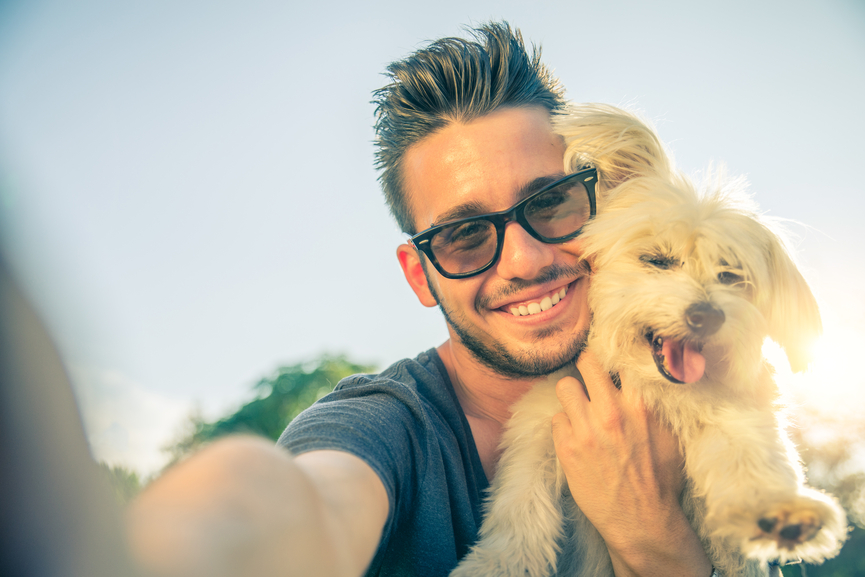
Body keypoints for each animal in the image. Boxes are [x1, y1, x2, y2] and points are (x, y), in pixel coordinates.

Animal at [448, 104, 848, 576]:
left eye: (730, 275)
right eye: (657, 260)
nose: (707, 315)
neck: (656, 389)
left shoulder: (731, 413)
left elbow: (749, 456)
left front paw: (783, 513)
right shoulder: (540, 424)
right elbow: (520, 506)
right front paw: (495, 563)